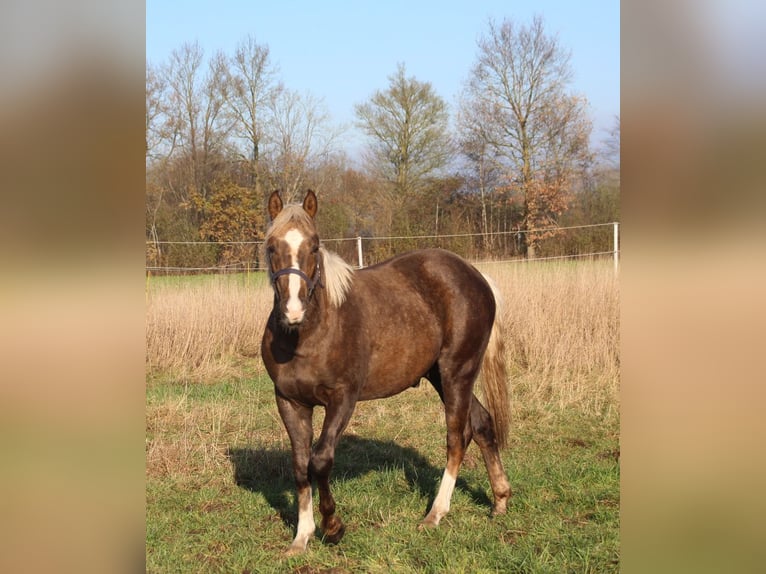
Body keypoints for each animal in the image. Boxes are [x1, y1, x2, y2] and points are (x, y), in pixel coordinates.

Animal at [260, 190, 512, 555]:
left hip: (457, 372)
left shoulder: (343, 399)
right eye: (271, 247)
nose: (293, 310)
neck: (308, 334)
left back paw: (435, 513)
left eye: (315, 246)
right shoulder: (290, 402)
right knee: (481, 424)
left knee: (456, 437)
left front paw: (333, 527)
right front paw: (301, 537)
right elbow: (299, 465)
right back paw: (500, 499)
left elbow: (320, 460)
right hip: (440, 375)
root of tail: (476, 276)